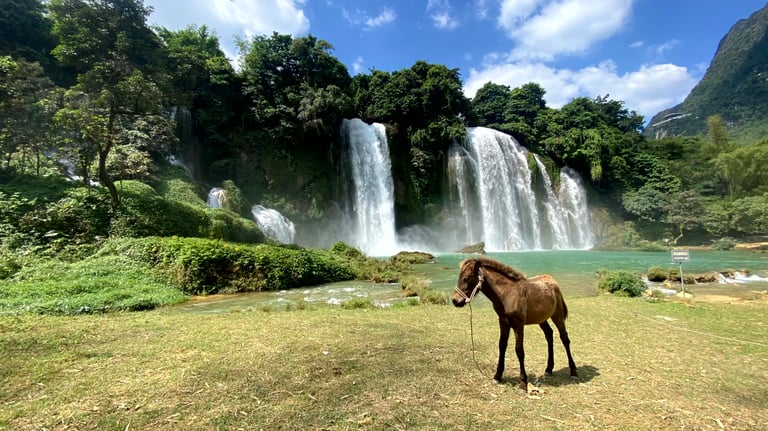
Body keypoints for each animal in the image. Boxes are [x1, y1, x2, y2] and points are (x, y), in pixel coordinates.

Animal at [452, 257, 578, 392]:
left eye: (467, 278)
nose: (455, 301)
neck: (507, 294)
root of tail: (553, 281)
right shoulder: (503, 322)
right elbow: (502, 346)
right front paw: (497, 376)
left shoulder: (518, 324)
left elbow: (519, 351)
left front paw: (523, 383)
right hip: (541, 319)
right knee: (549, 334)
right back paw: (549, 369)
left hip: (557, 316)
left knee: (564, 338)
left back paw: (573, 371)